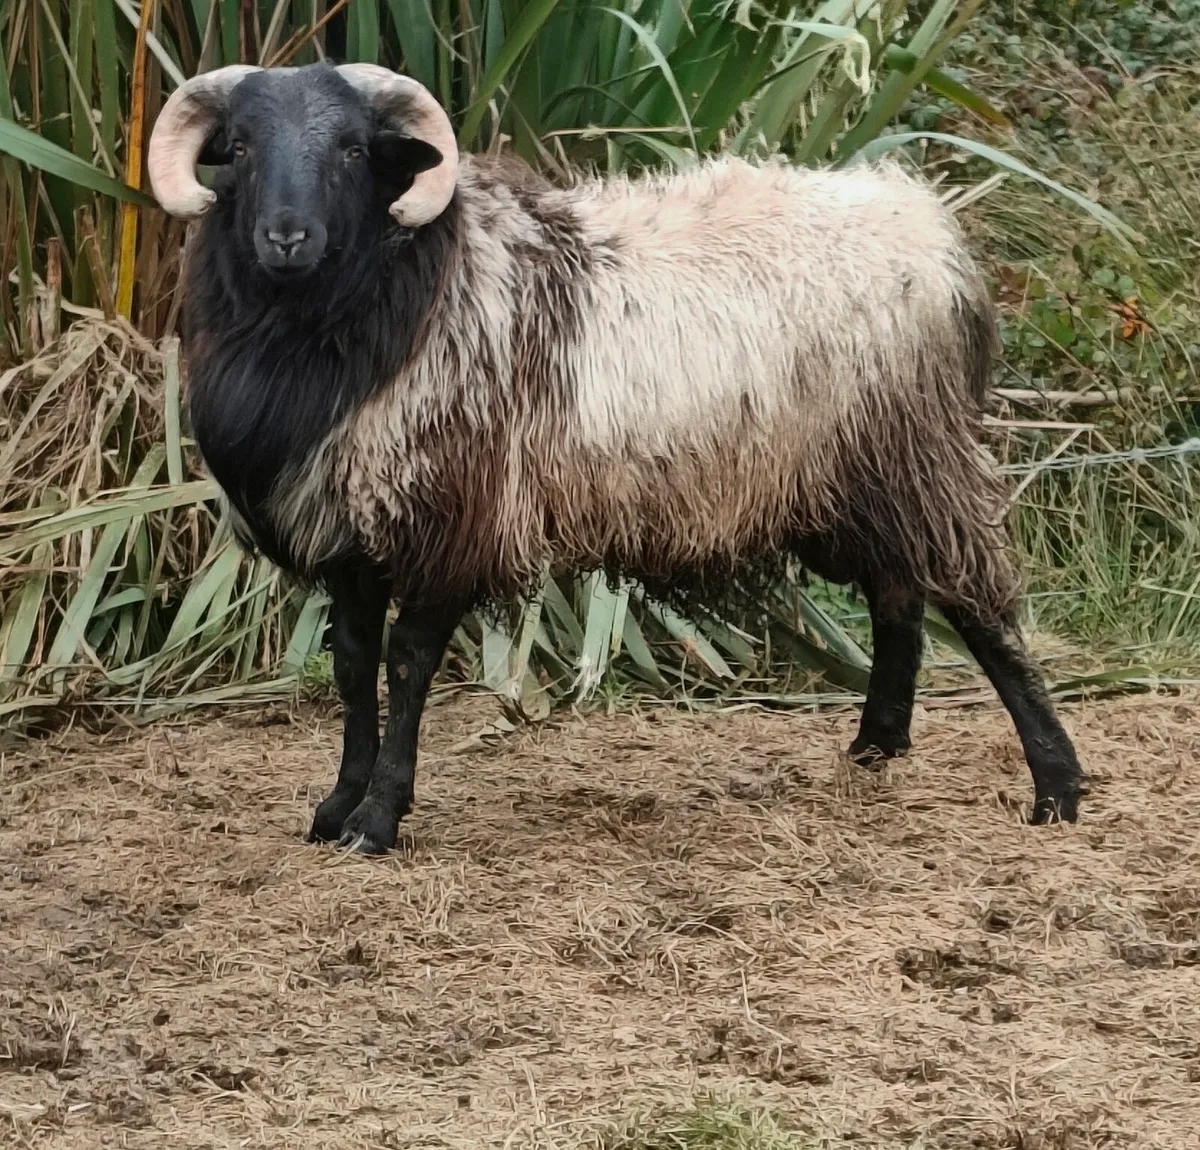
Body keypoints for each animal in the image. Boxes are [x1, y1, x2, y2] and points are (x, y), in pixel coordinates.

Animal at [147, 60, 1087, 855]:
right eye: (238, 146)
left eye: (351, 148)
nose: (287, 237)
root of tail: (925, 225)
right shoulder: (348, 529)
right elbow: (350, 666)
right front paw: (336, 806)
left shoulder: (451, 517)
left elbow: (407, 668)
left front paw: (378, 820)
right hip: (843, 482)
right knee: (899, 594)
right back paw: (877, 744)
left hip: (911, 455)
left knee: (975, 602)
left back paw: (1057, 784)